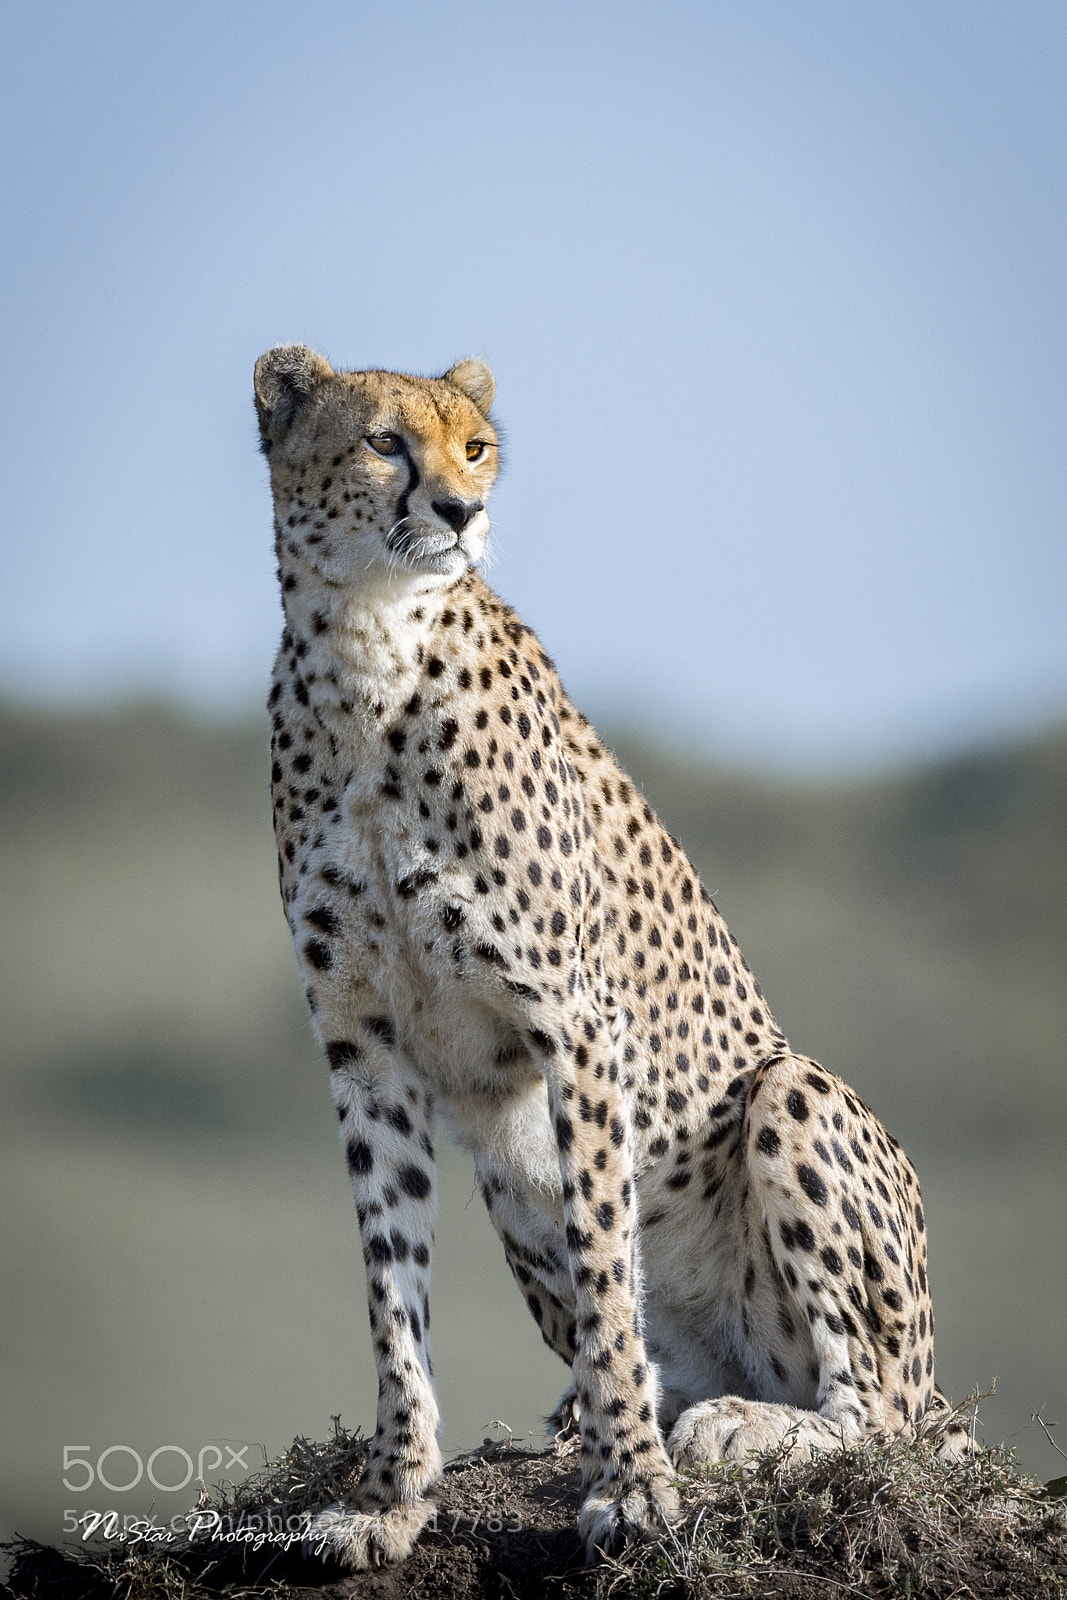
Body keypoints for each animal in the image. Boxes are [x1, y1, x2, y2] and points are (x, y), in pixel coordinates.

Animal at [253, 344, 969, 1569]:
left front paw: (631, 1485)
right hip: (507, 1185)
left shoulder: (574, 1025)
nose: (462, 511)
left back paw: (736, 1426)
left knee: (878, 1418)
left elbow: (603, 1268)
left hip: (792, 1096)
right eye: (385, 441)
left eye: (475, 447)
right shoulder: (362, 1046)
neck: (366, 644)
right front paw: (390, 1495)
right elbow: (393, 1290)